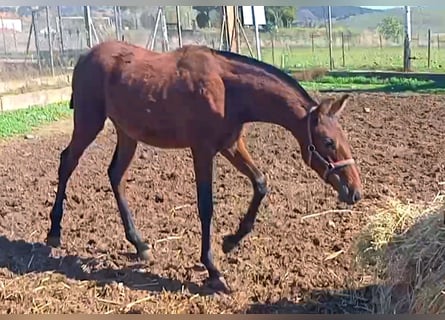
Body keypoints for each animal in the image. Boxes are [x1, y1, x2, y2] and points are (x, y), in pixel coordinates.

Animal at [46, 40, 362, 296]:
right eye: (328, 141)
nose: (355, 191)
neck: (229, 90)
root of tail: (85, 56)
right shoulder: (203, 150)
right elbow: (206, 206)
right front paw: (213, 270)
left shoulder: (231, 145)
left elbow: (260, 183)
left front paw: (231, 241)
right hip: (89, 121)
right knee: (67, 163)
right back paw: (54, 232)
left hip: (127, 134)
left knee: (115, 175)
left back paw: (139, 244)